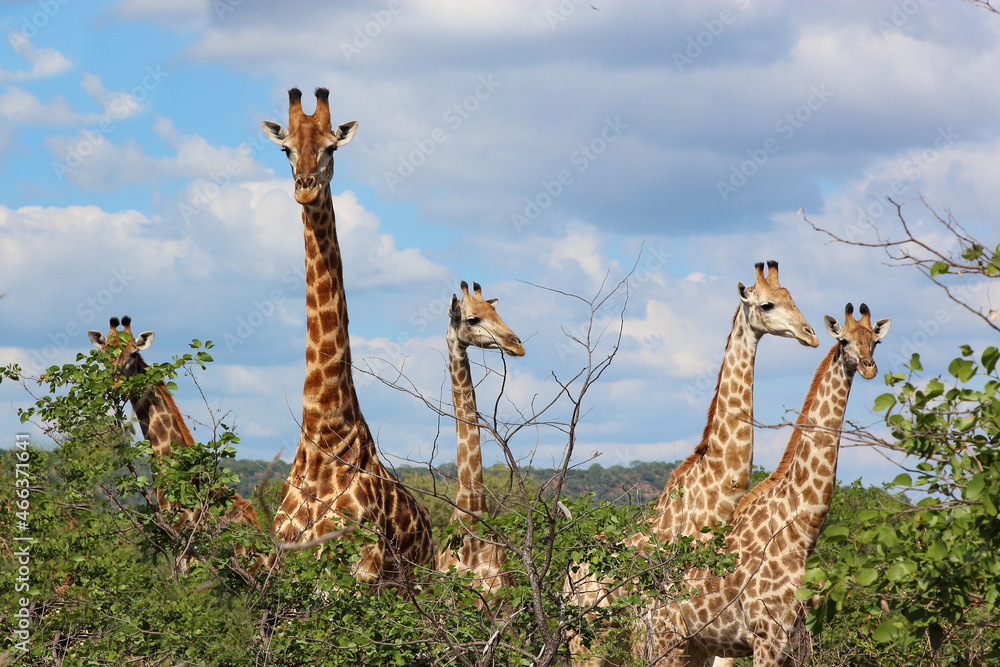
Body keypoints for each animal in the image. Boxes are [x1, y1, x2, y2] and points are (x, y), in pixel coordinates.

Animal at [262, 88, 434, 585]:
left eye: (331, 148)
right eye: (285, 149)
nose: (305, 187)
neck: (325, 431)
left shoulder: (361, 574)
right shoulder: (283, 569)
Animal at [566, 261, 819, 666]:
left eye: (791, 298)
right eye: (766, 305)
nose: (810, 335)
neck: (716, 491)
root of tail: (565, 581)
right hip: (588, 641)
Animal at [636, 303, 890, 666]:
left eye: (875, 342)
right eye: (843, 340)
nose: (869, 367)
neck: (803, 528)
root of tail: (651, 594)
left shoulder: (800, 643)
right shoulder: (766, 636)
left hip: (694, 645)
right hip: (667, 639)